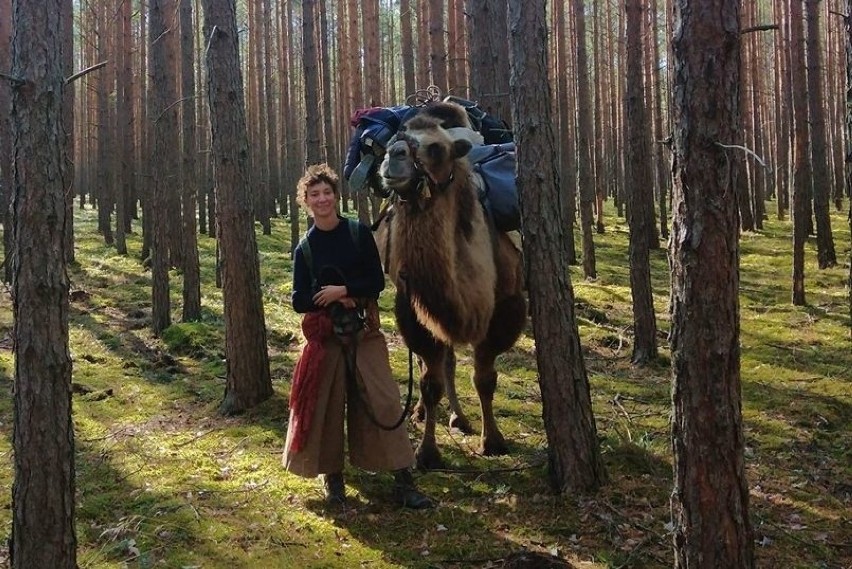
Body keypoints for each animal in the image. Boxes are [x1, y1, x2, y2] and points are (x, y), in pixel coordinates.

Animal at [378, 102, 524, 466]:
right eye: (395, 138)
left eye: (436, 148)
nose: (392, 156)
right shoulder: (413, 306)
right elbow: (430, 381)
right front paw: (427, 452)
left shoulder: (507, 307)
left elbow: (485, 378)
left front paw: (493, 440)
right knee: (437, 361)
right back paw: (422, 412)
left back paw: (460, 417)